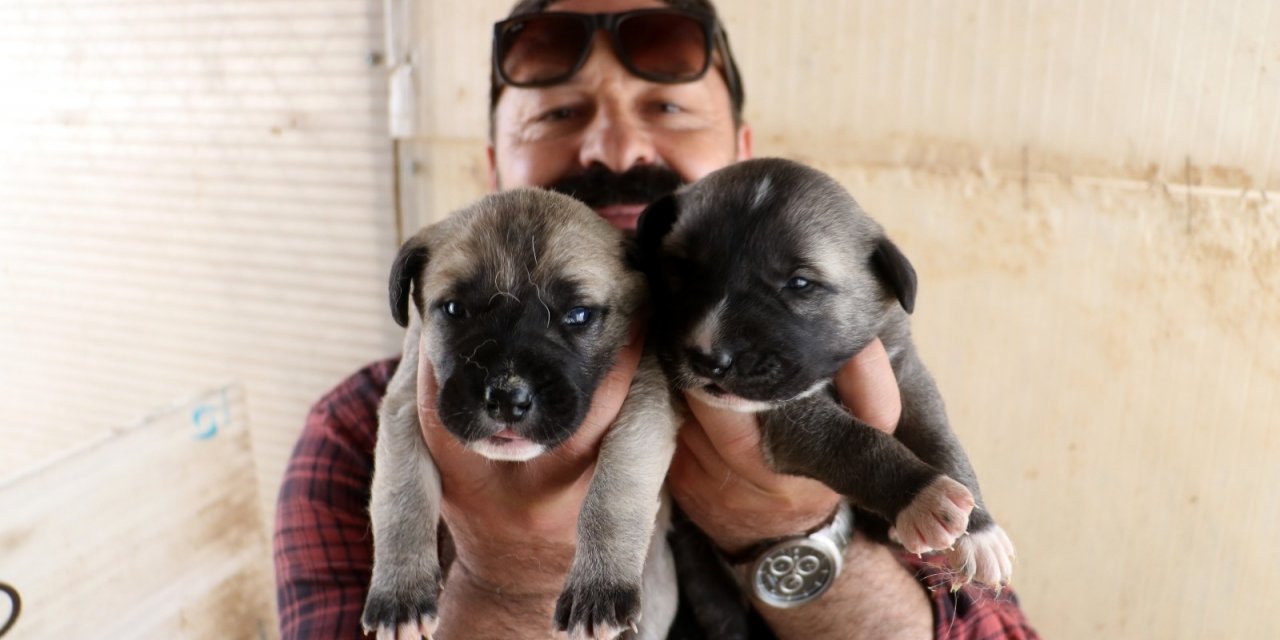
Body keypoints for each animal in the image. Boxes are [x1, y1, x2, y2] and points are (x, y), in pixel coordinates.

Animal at [360, 186, 686, 637]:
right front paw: (400, 593)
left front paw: (599, 584)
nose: (507, 398)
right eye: (455, 310)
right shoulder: (405, 405)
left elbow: (614, 490)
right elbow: (400, 498)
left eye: (578, 315)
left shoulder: (644, 404)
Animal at [634, 160, 1013, 593]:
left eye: (799, 283)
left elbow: (940, 438)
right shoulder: (788, 419)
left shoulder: (906, 373)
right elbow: (853, 440)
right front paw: (922, 493)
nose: (707, 359)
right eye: (681, 268)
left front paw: (980, 533)